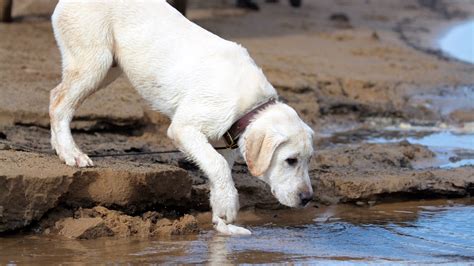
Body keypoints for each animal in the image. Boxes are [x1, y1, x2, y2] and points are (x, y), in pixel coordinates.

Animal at [50, 0, 312, 235]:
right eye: (290, 160)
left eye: (308, 160)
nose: (308, 198)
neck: (251, 105)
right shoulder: (183, 128)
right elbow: (217, 166)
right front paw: (228, 207)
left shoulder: (226, 141)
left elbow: (219, 169)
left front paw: (222, 221)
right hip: (94, 62)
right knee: (59, 104)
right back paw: (71, 153)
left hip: (109, 68)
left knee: (55, 94)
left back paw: (58, 148)